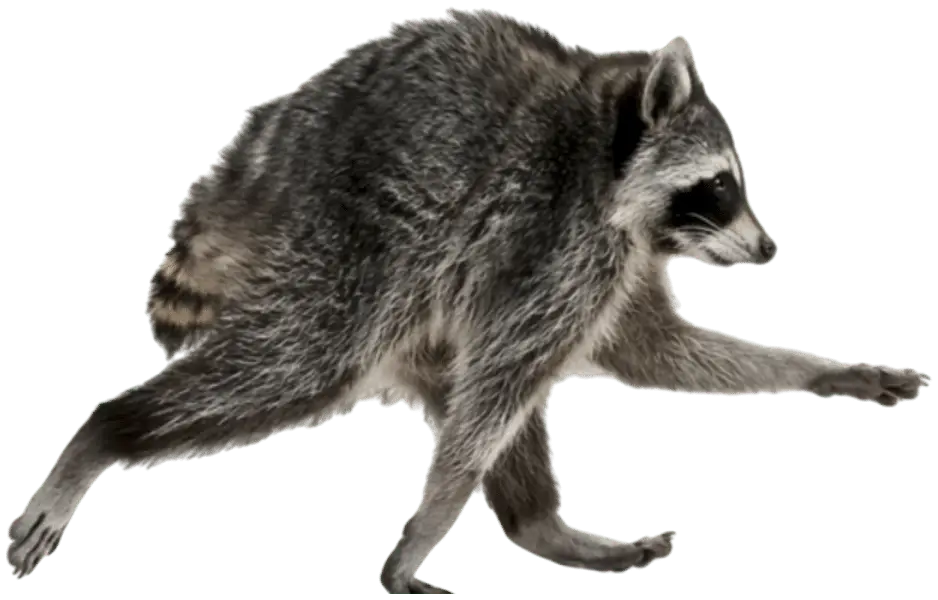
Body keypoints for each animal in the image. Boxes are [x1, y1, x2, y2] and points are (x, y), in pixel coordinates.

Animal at [7, 9, 929, 595]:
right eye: (719, 187)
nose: (768, 246)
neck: (607, 148)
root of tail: (236, 177)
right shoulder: (558, 230)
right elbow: (512, 365)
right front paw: (423, 528)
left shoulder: (615, 251)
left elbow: (644, 350)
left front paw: (820, 370)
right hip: (351, 233)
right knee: (314, 357)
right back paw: (108, 431)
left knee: (461, 373)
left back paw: (538, 525)